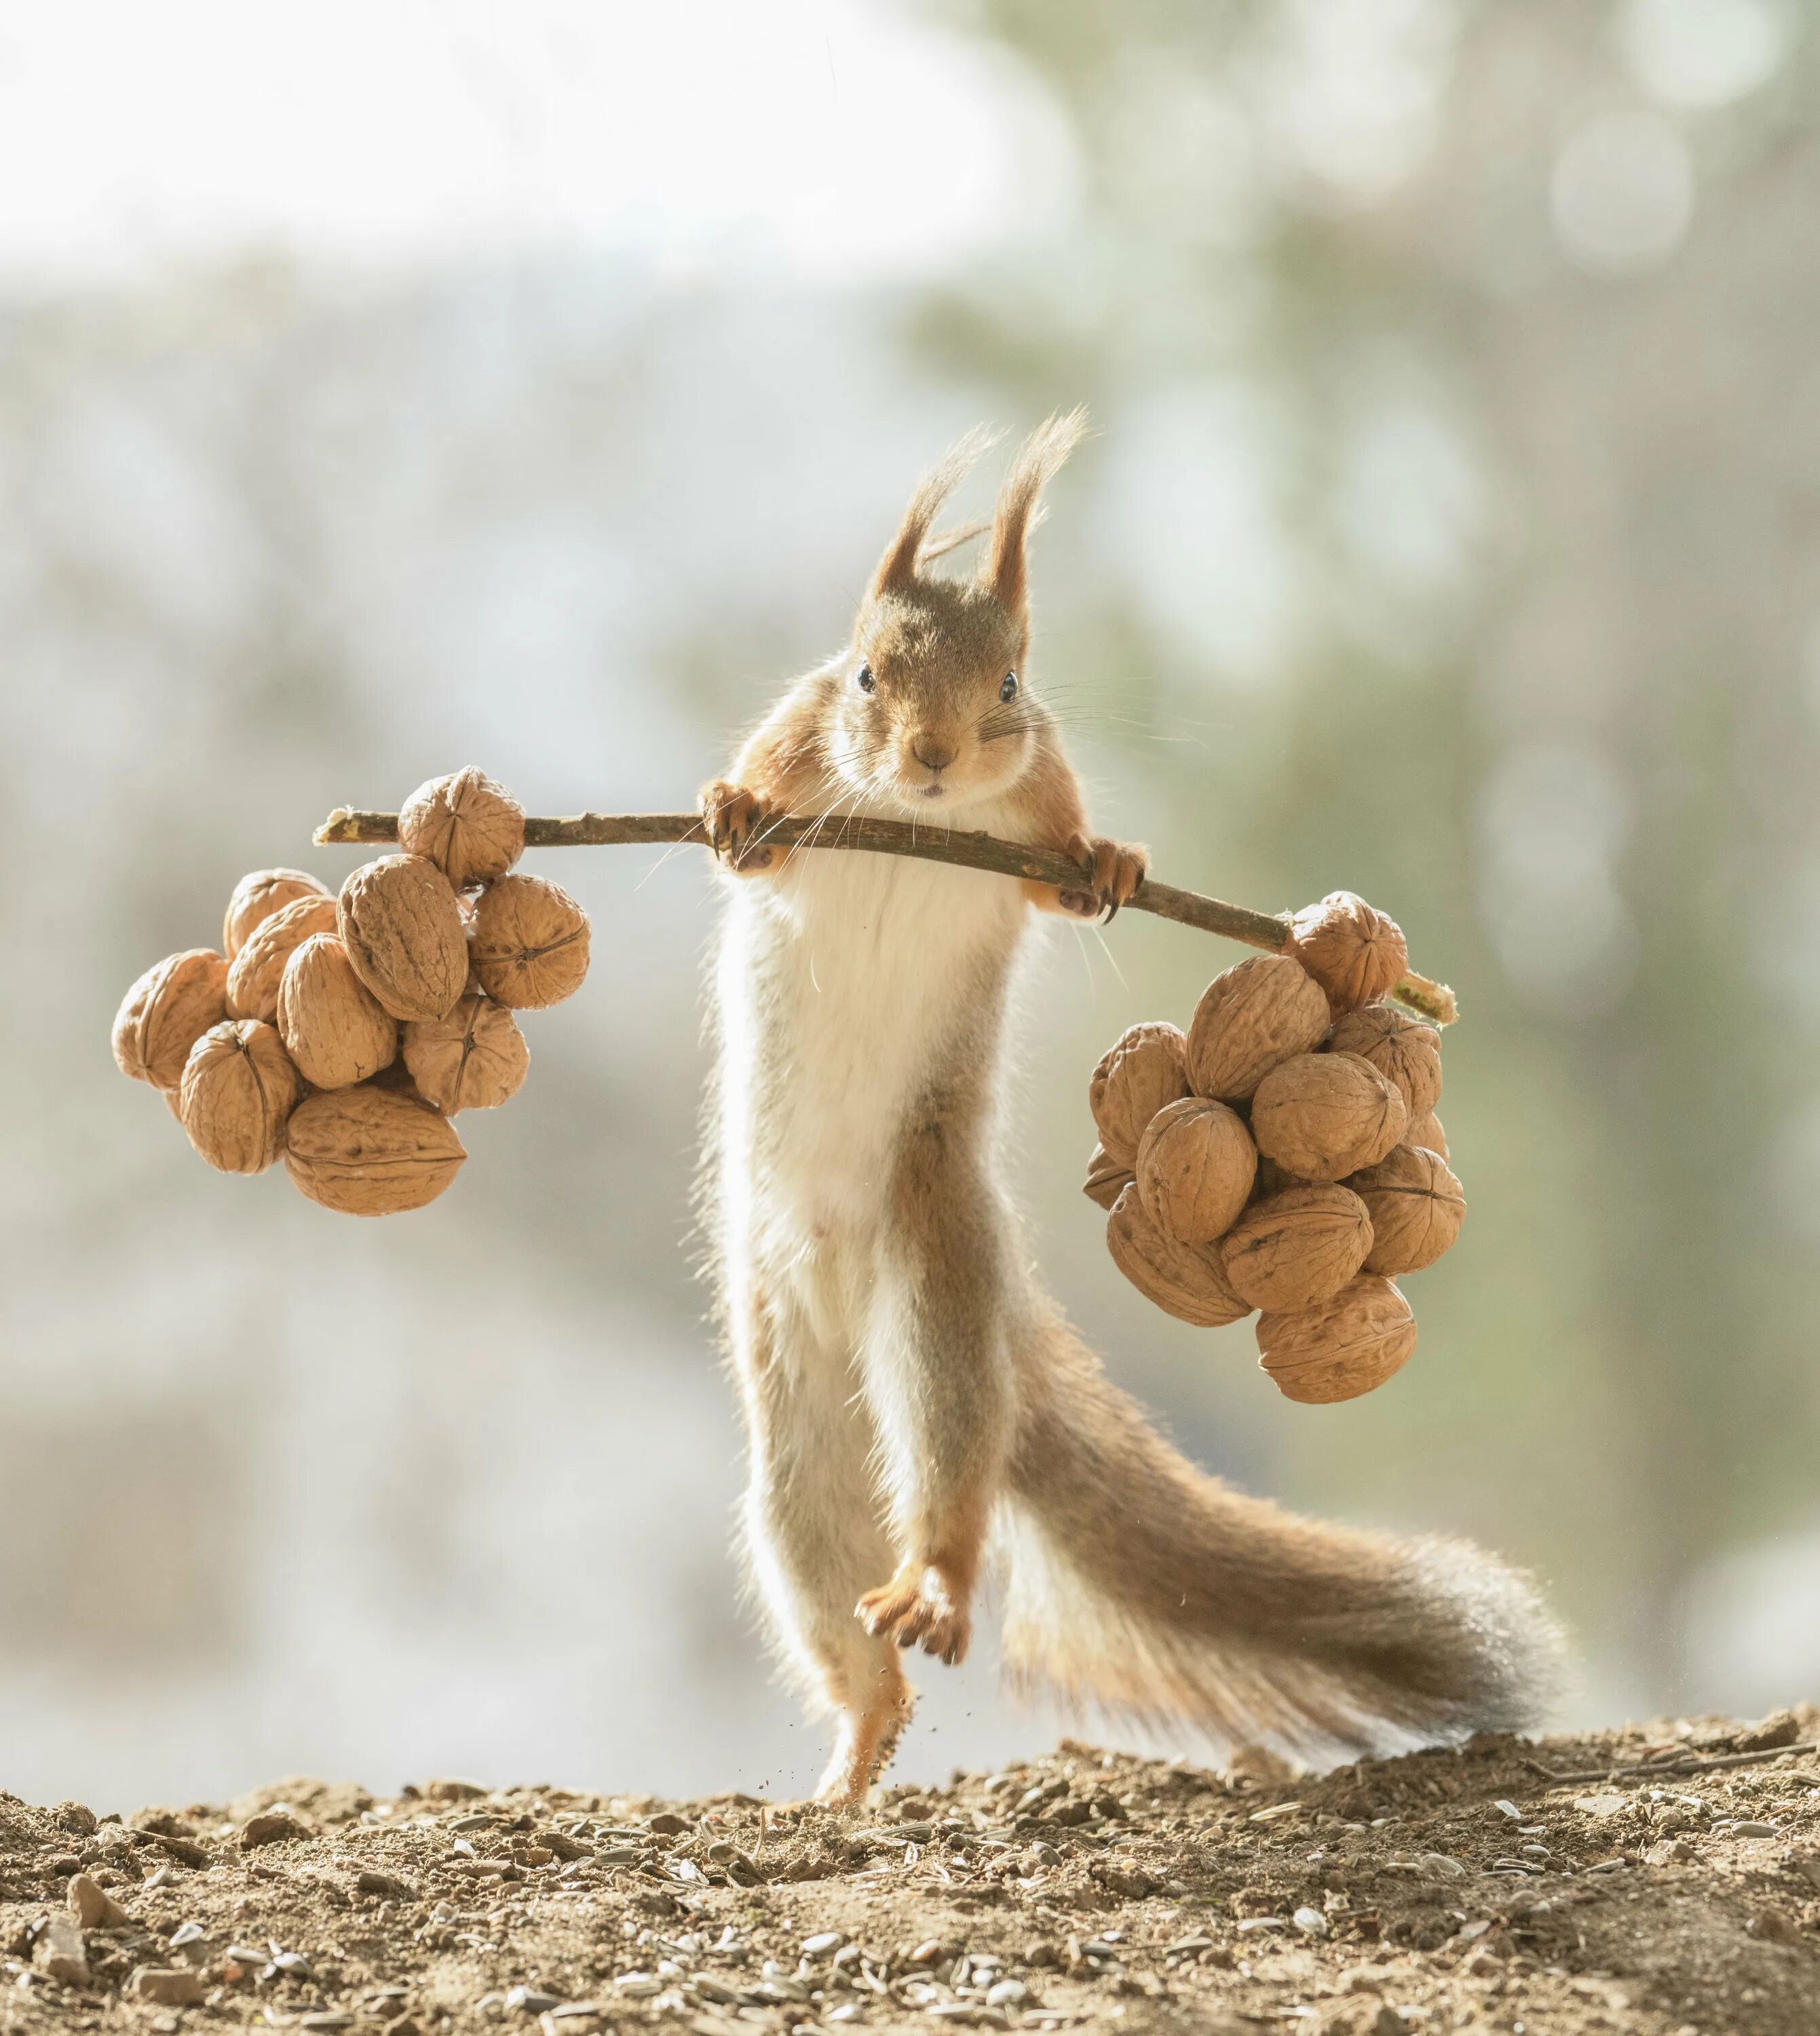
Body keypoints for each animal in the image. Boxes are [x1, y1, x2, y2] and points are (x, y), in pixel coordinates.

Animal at [700, 409, 1563, 1800]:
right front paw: (728, 810)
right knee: (828, 1570)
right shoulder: (798, 740)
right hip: (787, 1412)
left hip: (934, 1267)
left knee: (953, 1465)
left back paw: (933, 1589)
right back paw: (858, 1741)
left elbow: (1056, 869)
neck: (913, 817)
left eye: (1011, 685)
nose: (932, 758)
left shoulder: (1035, 795)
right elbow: (756, 821)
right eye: (864, 676)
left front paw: (1109, 865)